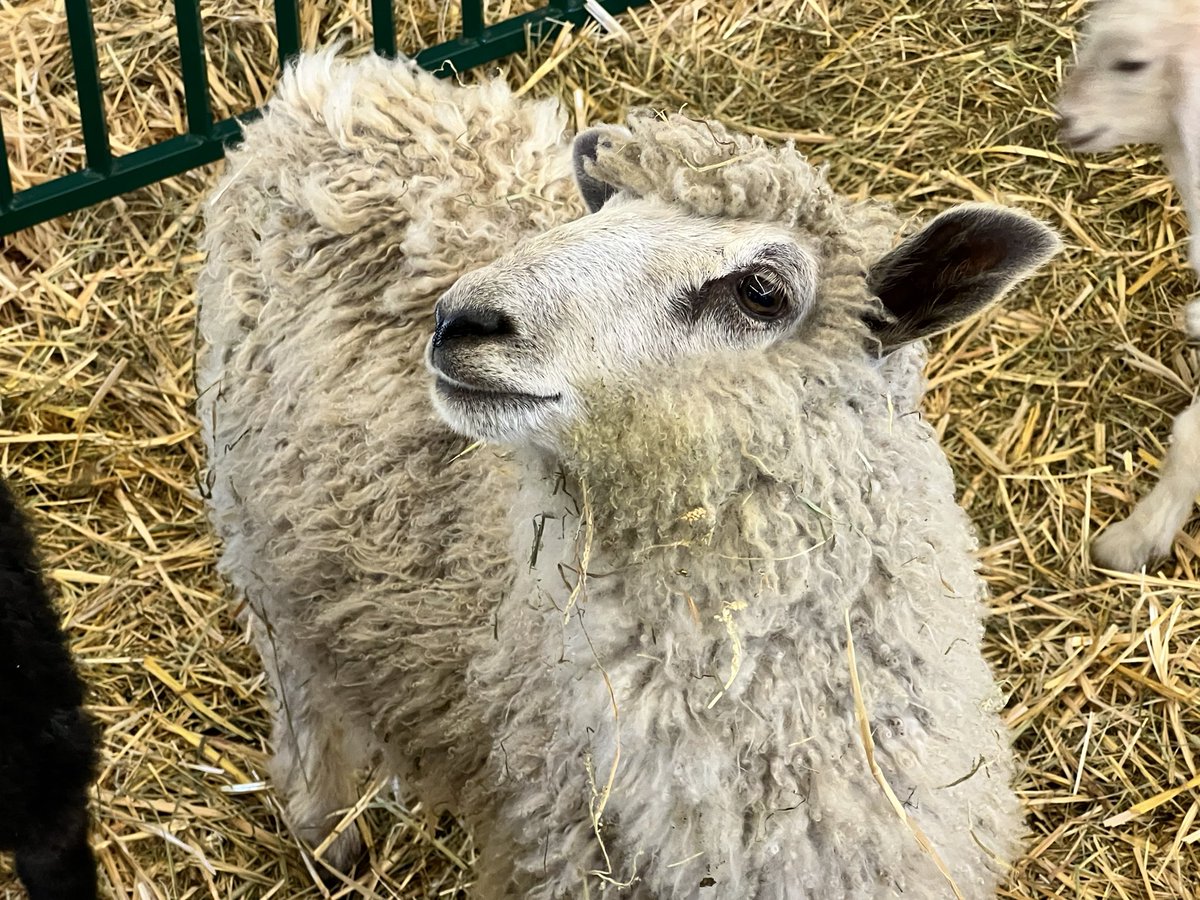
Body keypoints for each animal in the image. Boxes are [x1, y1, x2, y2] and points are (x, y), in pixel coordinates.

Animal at [196, 51, 1060, 900]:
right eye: (603, 207)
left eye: (760, 291)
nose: (459, 321)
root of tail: (344, 78)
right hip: (253, 518)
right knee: (300, 683)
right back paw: (324, 830)